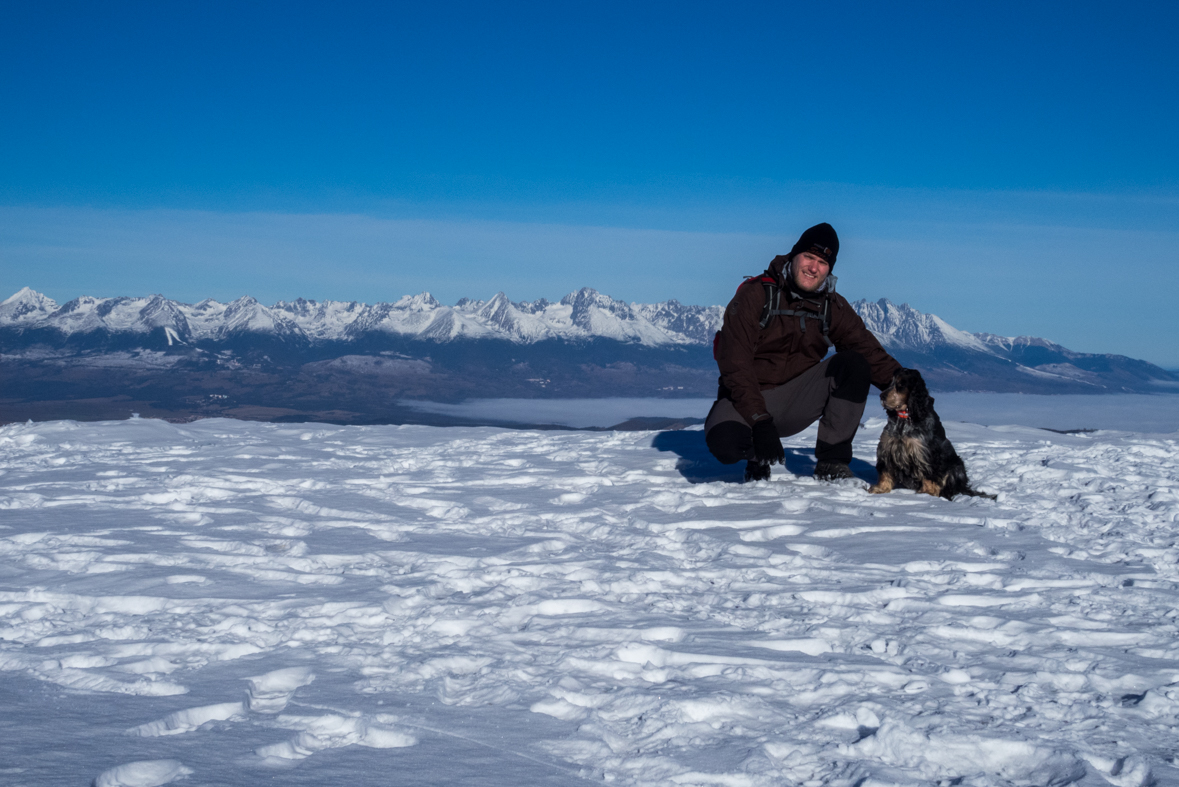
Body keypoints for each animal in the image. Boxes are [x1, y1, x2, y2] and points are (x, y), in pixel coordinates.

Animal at [867, 367, 995, 501]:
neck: (905, 418)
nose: (882, 396)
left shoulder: (926, 453)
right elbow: (885, 472)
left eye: (901, 385)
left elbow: (929, 474)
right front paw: (880, 489)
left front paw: (927, 493)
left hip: (956, 466)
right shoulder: (887, 449)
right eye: (890, 383)